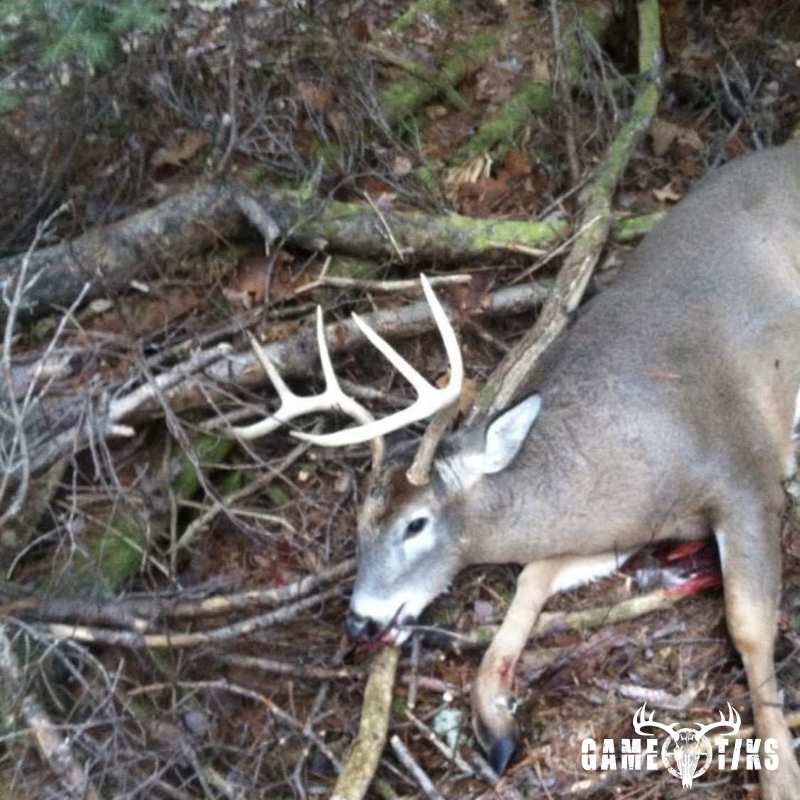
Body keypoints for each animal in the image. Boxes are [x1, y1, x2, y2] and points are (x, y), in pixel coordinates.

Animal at [231, 140, 800, 799]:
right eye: (358, 526)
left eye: (416, 524)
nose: (359, 620)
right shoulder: (621, 528)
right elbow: (532, 576)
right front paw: (496, 721)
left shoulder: (742, 470)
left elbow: (749, 624)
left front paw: (782, 774)